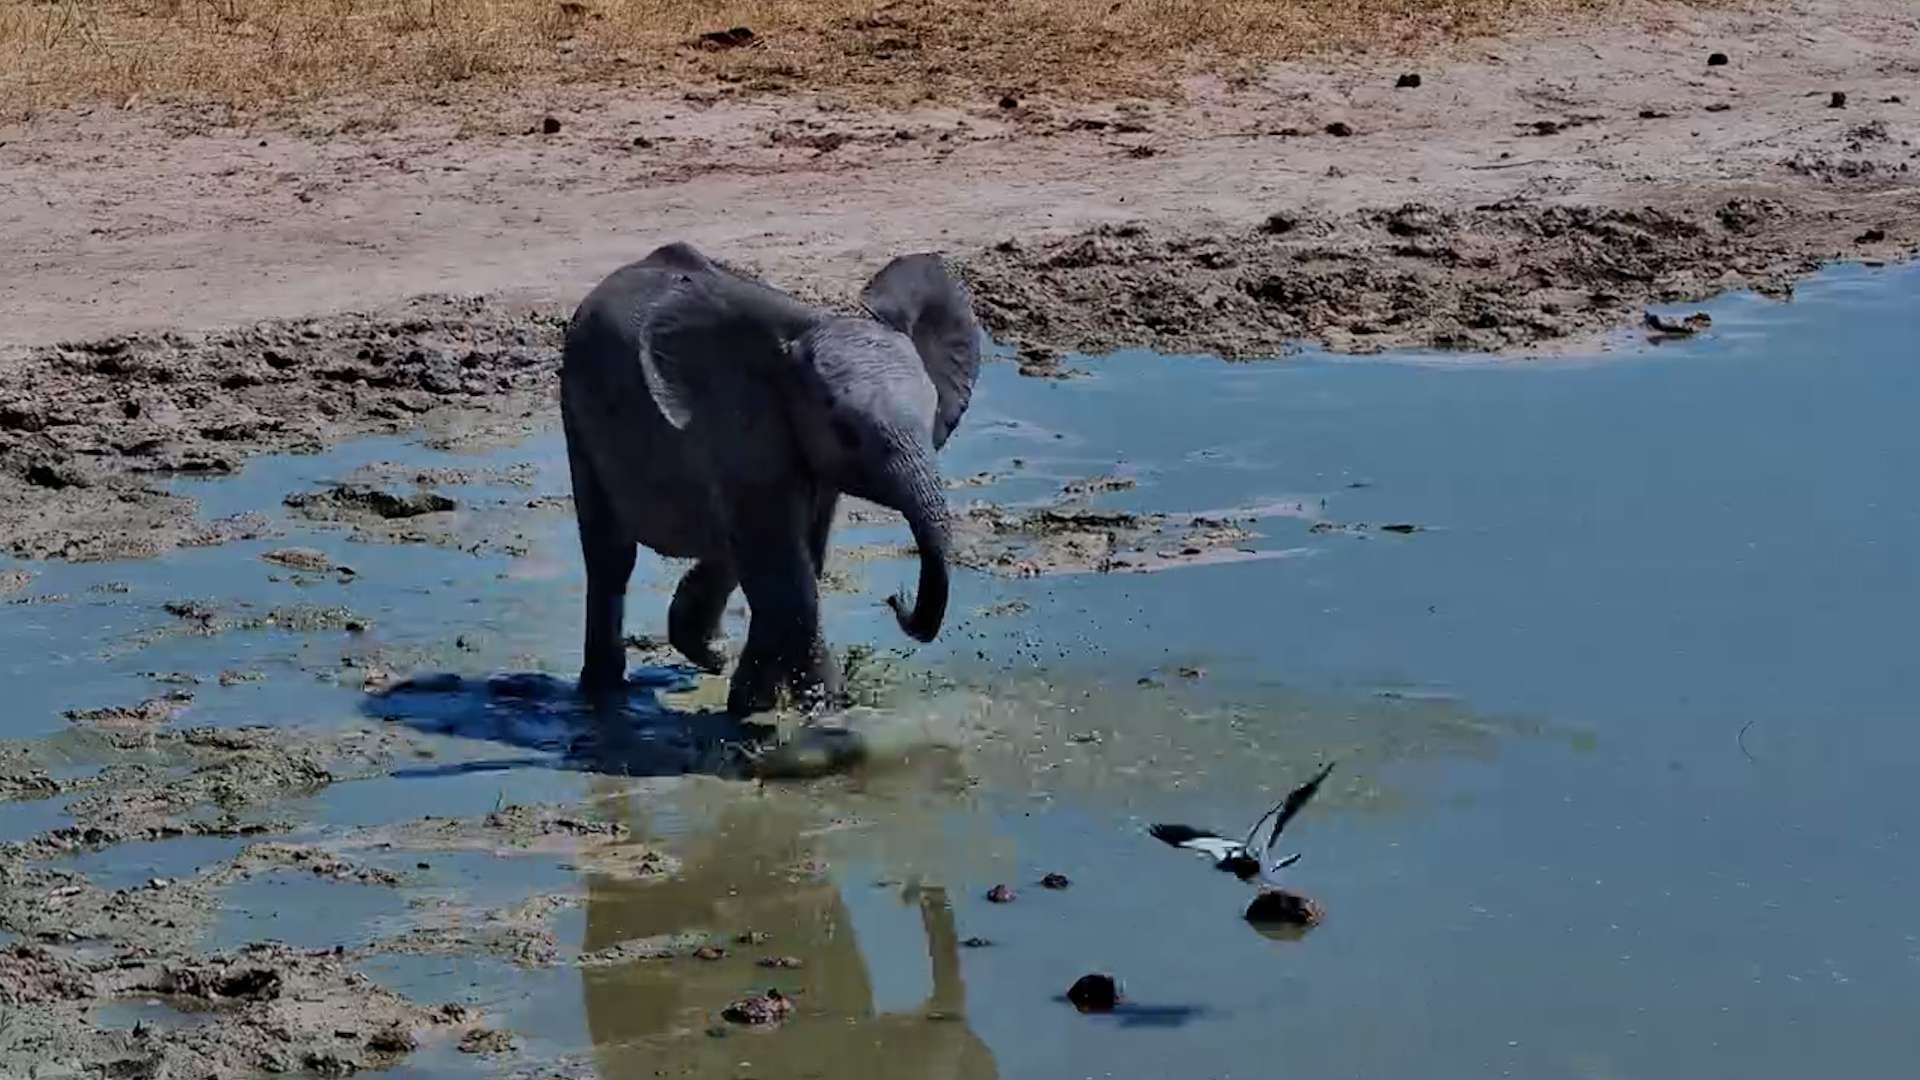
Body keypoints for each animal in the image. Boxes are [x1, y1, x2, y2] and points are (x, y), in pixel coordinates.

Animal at [559, 240, 983, 717]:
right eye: (847, 433)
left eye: (932, 418)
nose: (897, 599)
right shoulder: (741, 424)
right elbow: (788, 573)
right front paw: (823, 710)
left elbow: (798, 559)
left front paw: (753, 706)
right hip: (576, 412)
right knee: (611, 556)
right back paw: (605, 693)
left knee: (731, 547)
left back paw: (708, 653)